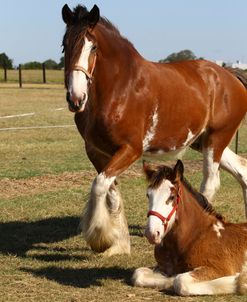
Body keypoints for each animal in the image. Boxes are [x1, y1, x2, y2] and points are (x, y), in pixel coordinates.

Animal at [61, 4, 247, 255]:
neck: (120, 88)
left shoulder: (131, 150)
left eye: (93, 47)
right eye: (65, 44)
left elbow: (99, 186)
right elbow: (110, 191)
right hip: (203, 141)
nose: (76, 98)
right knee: (242, 171)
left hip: (216, 140)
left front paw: (100, 237)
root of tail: (230, 76)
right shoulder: (97, 151)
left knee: (209, 183)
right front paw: (118, 244)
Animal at [132, 159, 247, 296]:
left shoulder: (219, 268)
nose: (152, 234)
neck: (192, 237)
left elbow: (180, 282)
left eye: (172, 197)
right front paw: (168, 280)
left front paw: (242, 281)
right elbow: (138, 274)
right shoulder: (163, 266)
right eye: (148, 195)